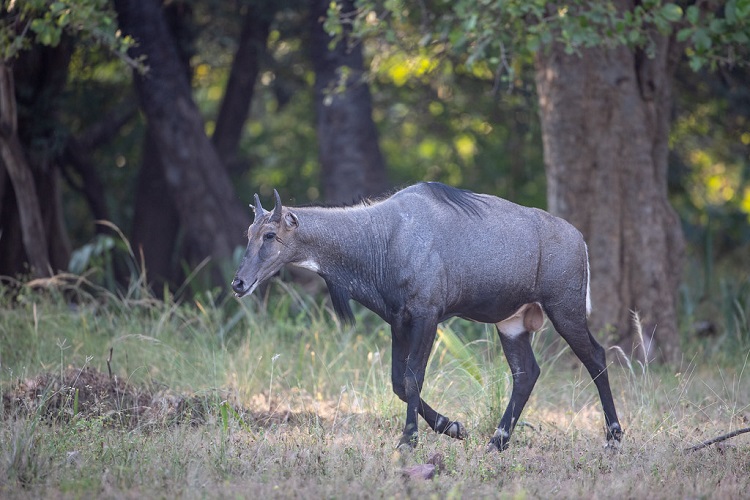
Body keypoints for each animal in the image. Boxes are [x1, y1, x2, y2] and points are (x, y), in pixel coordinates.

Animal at [232, 182, 624, 452]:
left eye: (270, 234)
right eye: (248, 233)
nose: (238, 283)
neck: (381, 238)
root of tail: (579, 239)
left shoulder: (427, 314)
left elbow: (412, 379)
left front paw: (409, 441)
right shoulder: (398, 320)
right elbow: (397, 381)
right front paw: (453, 427)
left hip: (565, 310)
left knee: (596, 357)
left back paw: (614, 438)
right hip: (511, 323)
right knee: (526, 372)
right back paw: (497, 441)